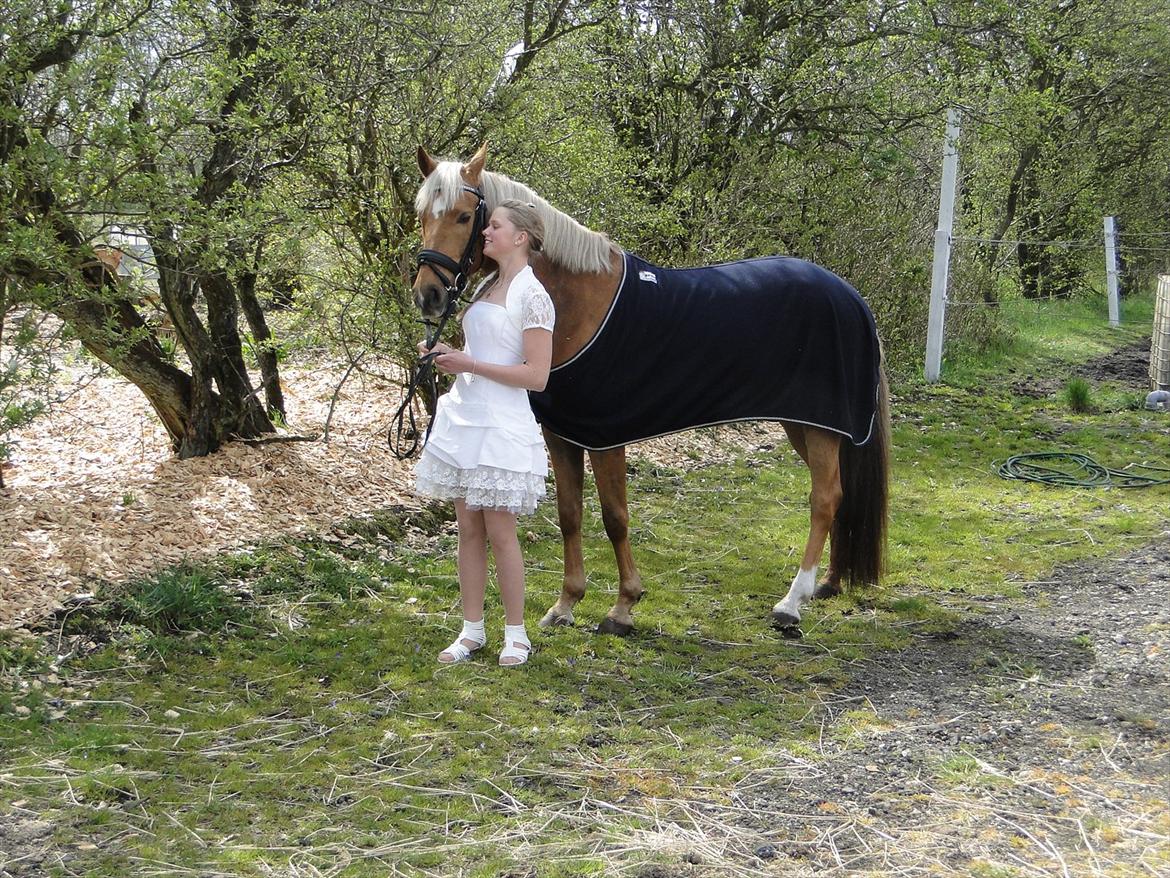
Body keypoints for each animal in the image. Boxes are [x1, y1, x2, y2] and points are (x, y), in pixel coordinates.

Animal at [411, 143, 890, 636]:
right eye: (422, 214)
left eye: (464, 216)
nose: (428, 296)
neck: (579, 301)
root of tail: (852, 298)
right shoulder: (562, 434)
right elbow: (570, 514)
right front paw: (566, 604)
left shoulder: (605, 437)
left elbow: (615, 517)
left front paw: (623, 607)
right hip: (805, 424)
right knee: (839, 494)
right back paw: (827, 583)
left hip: (820, 426)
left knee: (825, 499)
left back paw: (791, 603)